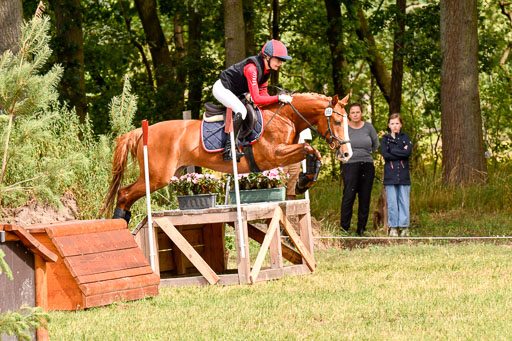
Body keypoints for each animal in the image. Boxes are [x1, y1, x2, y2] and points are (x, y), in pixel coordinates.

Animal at [102, 91, 354, 222]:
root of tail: (141, 131)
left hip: (166, 174)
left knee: (126, 195)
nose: (346, 153)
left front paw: (304, 181)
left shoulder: (282, 154)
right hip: (157, 177)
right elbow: (310, 149)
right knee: (124, 194)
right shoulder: (273, 155)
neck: (286, 116)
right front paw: (304, 182)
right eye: (337, 121)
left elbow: (310, 152)